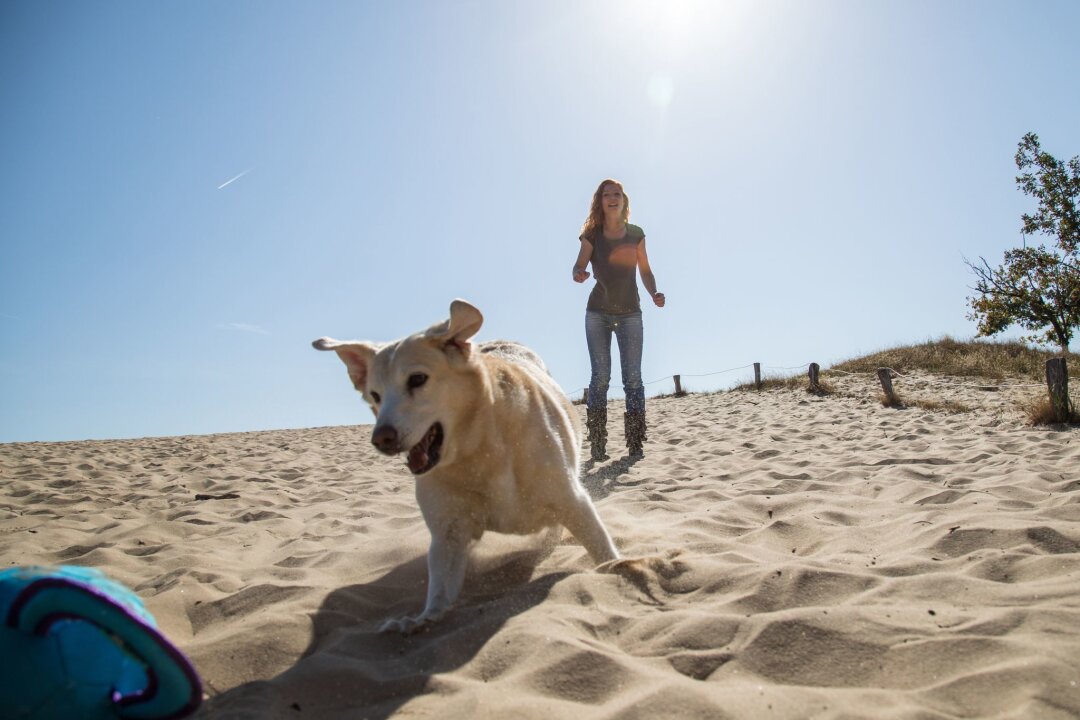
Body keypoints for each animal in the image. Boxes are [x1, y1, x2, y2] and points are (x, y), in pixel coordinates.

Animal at [313, 297, 622, 630]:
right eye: (375, 395)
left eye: (417, 379)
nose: (381, 437)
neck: (479, 449)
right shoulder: (447, 532)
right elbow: (439, 592)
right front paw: (421, 620)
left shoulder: (573, 501)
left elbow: (606, 555)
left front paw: (624, 574)